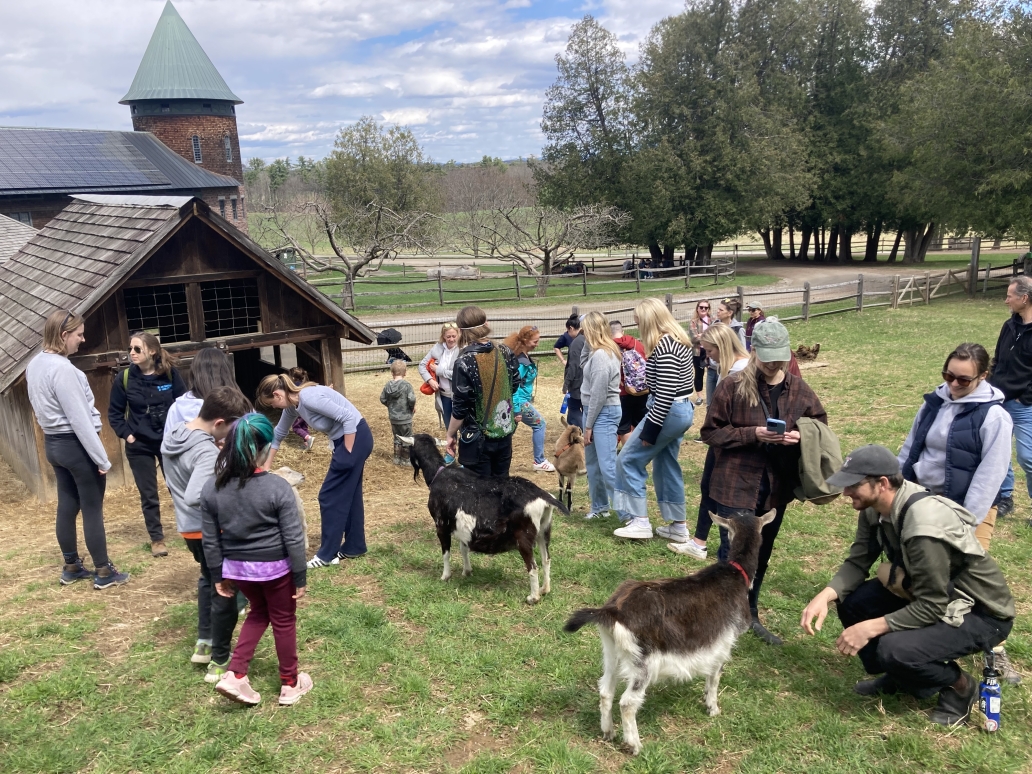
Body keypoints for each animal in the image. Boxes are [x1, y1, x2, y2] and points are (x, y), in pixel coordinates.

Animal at [402, 431, 569, 606]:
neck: (438, 473)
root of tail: (543, 497)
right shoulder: (461, 526)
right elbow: (463, 548)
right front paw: (467, 571)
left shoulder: (441, 524)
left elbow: (446, 552)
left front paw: (445, 576)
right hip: (544, 530)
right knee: (546, 559)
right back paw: (545, 589)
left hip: (524, 536)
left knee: (533, 567)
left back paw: (533, 597)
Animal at [565, 511, 776, 755]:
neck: (734, 573)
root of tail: (613, 611)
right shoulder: (725, 641)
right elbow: (715, 676)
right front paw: (713, 708)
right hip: (643, 663)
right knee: (627, 702)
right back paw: (635, 745)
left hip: (612, 651)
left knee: (606, 691)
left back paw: (608, 732)